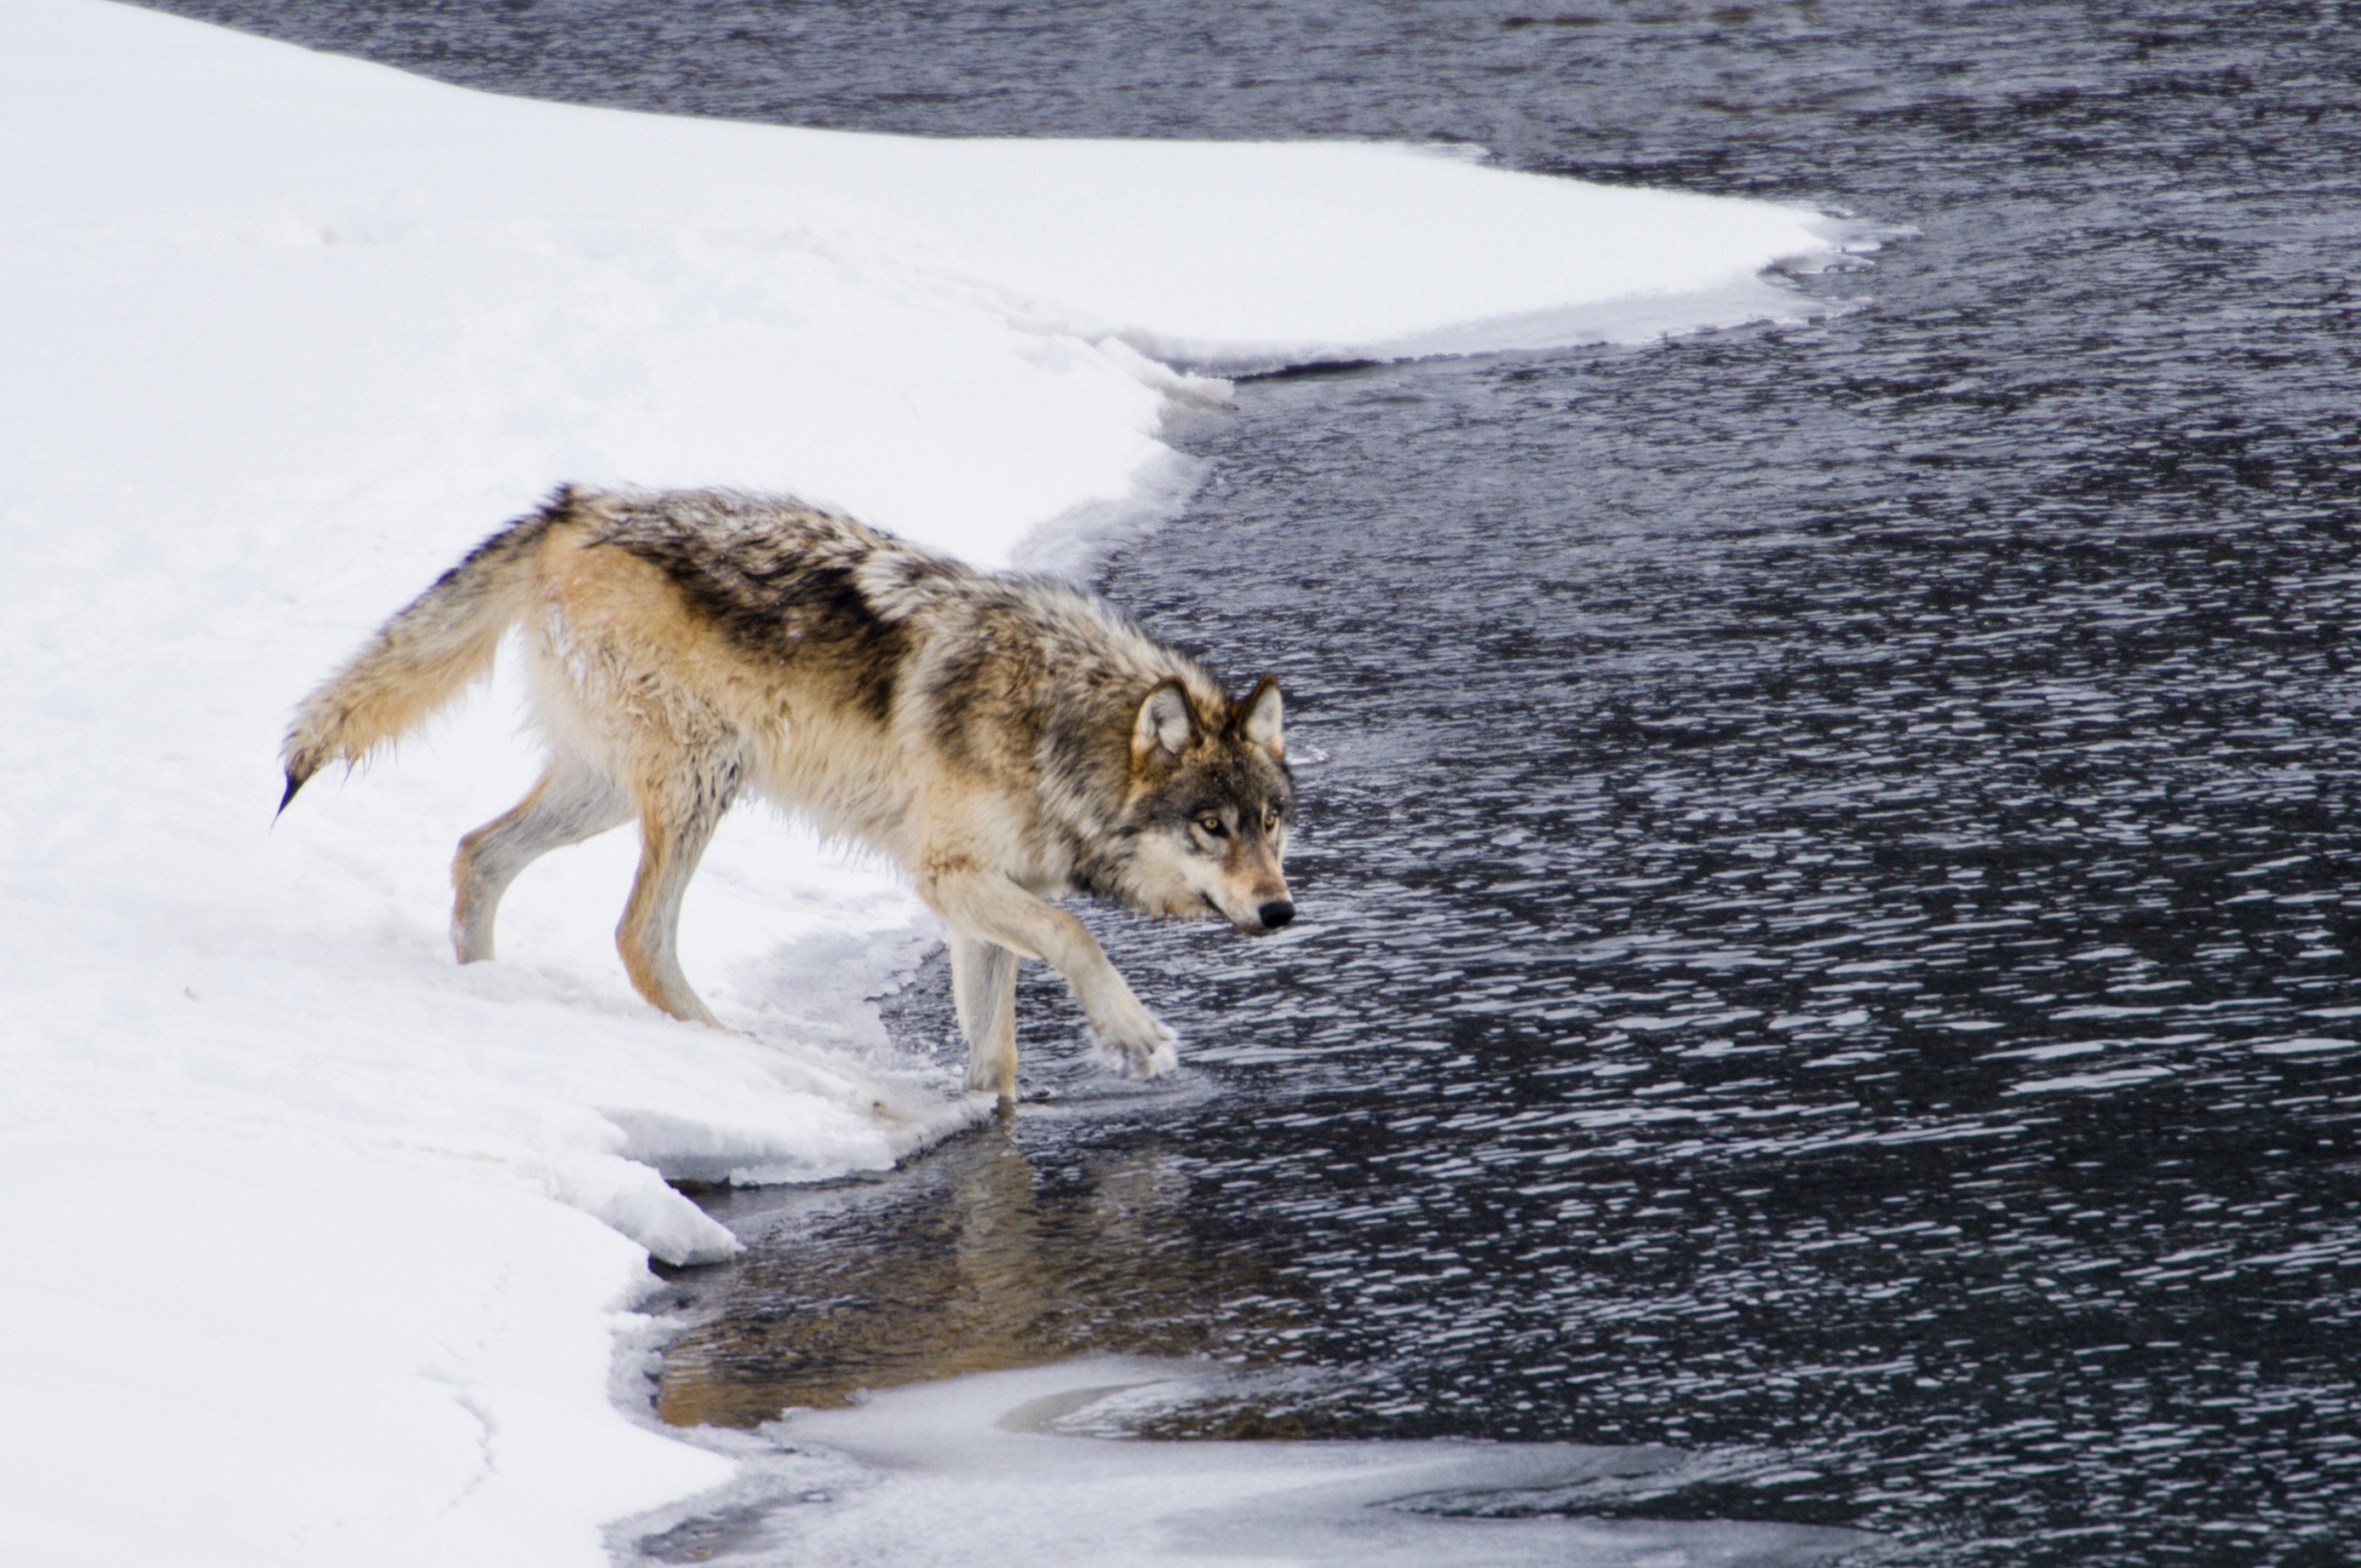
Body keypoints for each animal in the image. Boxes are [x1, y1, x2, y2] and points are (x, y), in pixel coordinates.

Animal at [288, 484, 1312, 1095]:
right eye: (1210, 826)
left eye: (1271, 824)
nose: (1281, 912)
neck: (1056, 722)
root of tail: (571, 505)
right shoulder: (947, 879)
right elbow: (1078, 935)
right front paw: (1133, 1035)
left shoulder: (978, 901)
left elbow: (996, 1056)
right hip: (699, 783)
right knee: (637, 935)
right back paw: (741, 1058)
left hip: (609, 791)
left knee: (479, 855)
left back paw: (487, 994)